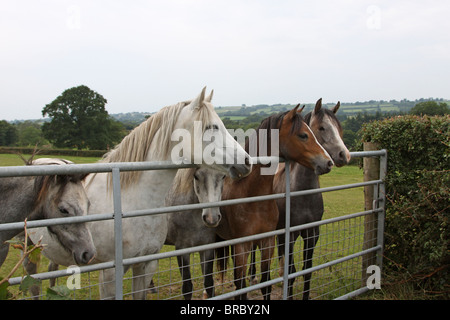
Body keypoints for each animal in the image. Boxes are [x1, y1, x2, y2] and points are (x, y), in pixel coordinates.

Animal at [164, 166, 225, 298]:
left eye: (223, 176)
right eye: (196, 176)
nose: (211, 218)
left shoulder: (207, 248)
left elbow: (209, 283)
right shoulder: (182, 249)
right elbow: (187, 287)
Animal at [216, 105, 332, 300]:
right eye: (303, 135)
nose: (328, 162)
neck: (252, 195)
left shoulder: (267, 241)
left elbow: (266, 283)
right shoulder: (242, 245)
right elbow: (241, 285)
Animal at [272, 99, 354, 298]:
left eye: (339, 128)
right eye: (322, 127)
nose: (344, 155)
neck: (302, 193)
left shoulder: (312, 233)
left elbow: (307, 271)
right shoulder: (291, 234)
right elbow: (292, 273)